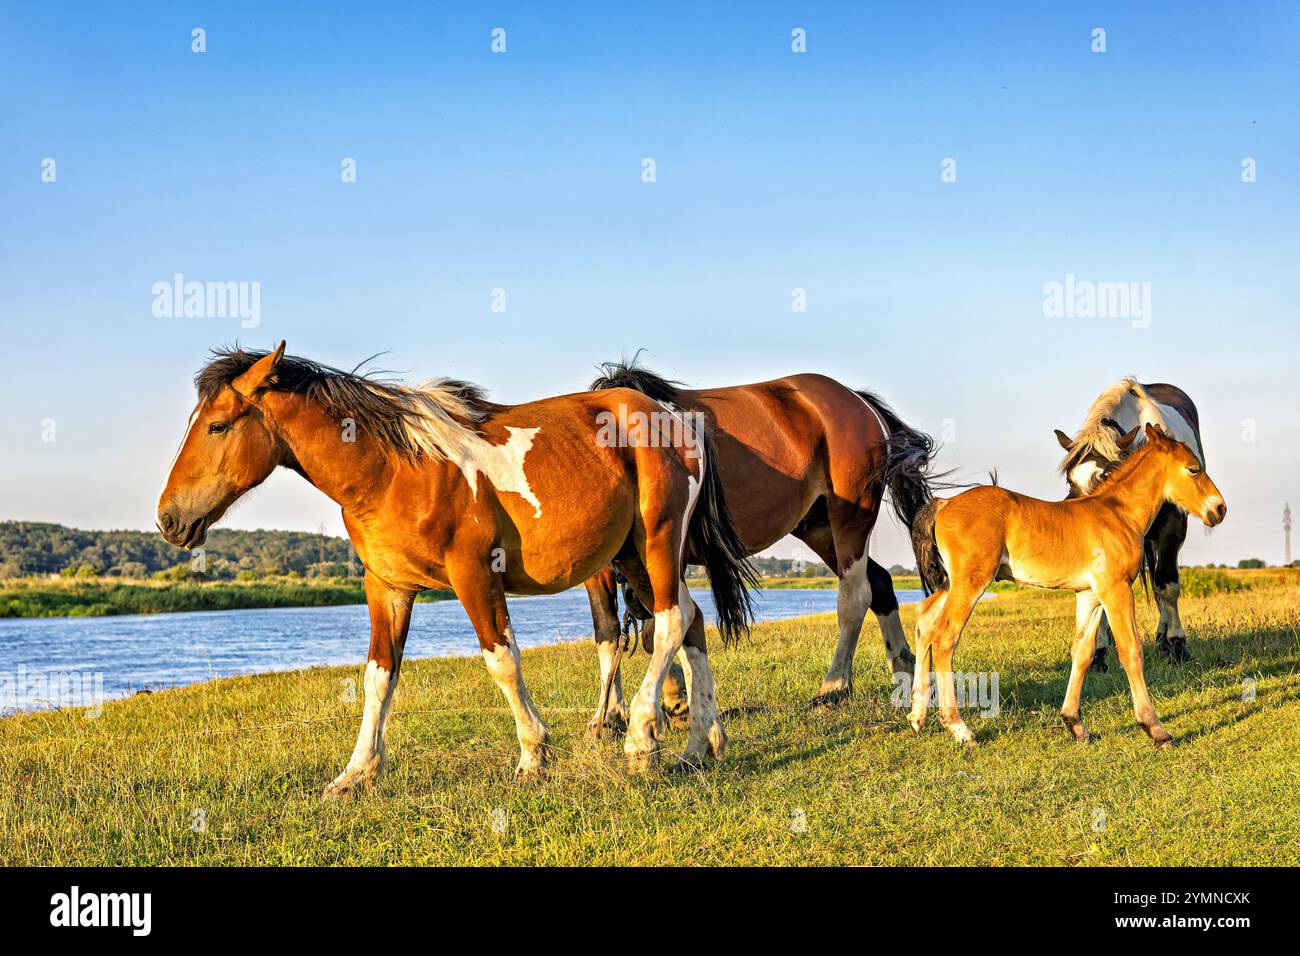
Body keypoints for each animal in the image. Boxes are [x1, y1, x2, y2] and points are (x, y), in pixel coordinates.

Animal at [156, 342, 757, 793]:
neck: (392, 469)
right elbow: (378, 676)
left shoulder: (474, 576)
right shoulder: (388, 588)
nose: (169, 519)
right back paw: (702, 744)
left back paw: (641, 738)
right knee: (691, 622)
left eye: (217, 426)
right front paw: (356, 773)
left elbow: (502, 661)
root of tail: (670, 417)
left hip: (657, 541)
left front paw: (533, 755)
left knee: (670, 623)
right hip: (631, 557)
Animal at [581, 359, 939, 734]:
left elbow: (661, 625)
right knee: (881, 583)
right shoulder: (605, 568)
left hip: (850, 520)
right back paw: (904, 673)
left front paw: (673, 702)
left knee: (854, 599)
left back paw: (833, 688)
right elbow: (609, 629)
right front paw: (611, 716)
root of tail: (858, 401)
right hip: (817, 528)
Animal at [909, 424, 1226, 748]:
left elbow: (1082, 652)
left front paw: (1075, 724)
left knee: (924, 619)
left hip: (952, 583)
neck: (1117, 513)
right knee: (945, 637)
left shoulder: (1090, 594)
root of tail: (944, 504)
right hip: (970, 582)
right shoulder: (1116, 589)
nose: (1219, 509)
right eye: (1194, 469)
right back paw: (959, 727)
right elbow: (1131, 649)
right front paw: (1155, 728)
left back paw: (917, 717)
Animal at [1053, 378, 1206, 667]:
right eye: (1070, 479)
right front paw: (1099, 652)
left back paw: (1165, 638)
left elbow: (1167, 585)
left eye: (1105, 475)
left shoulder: (1171, 527)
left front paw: (1178, 645)